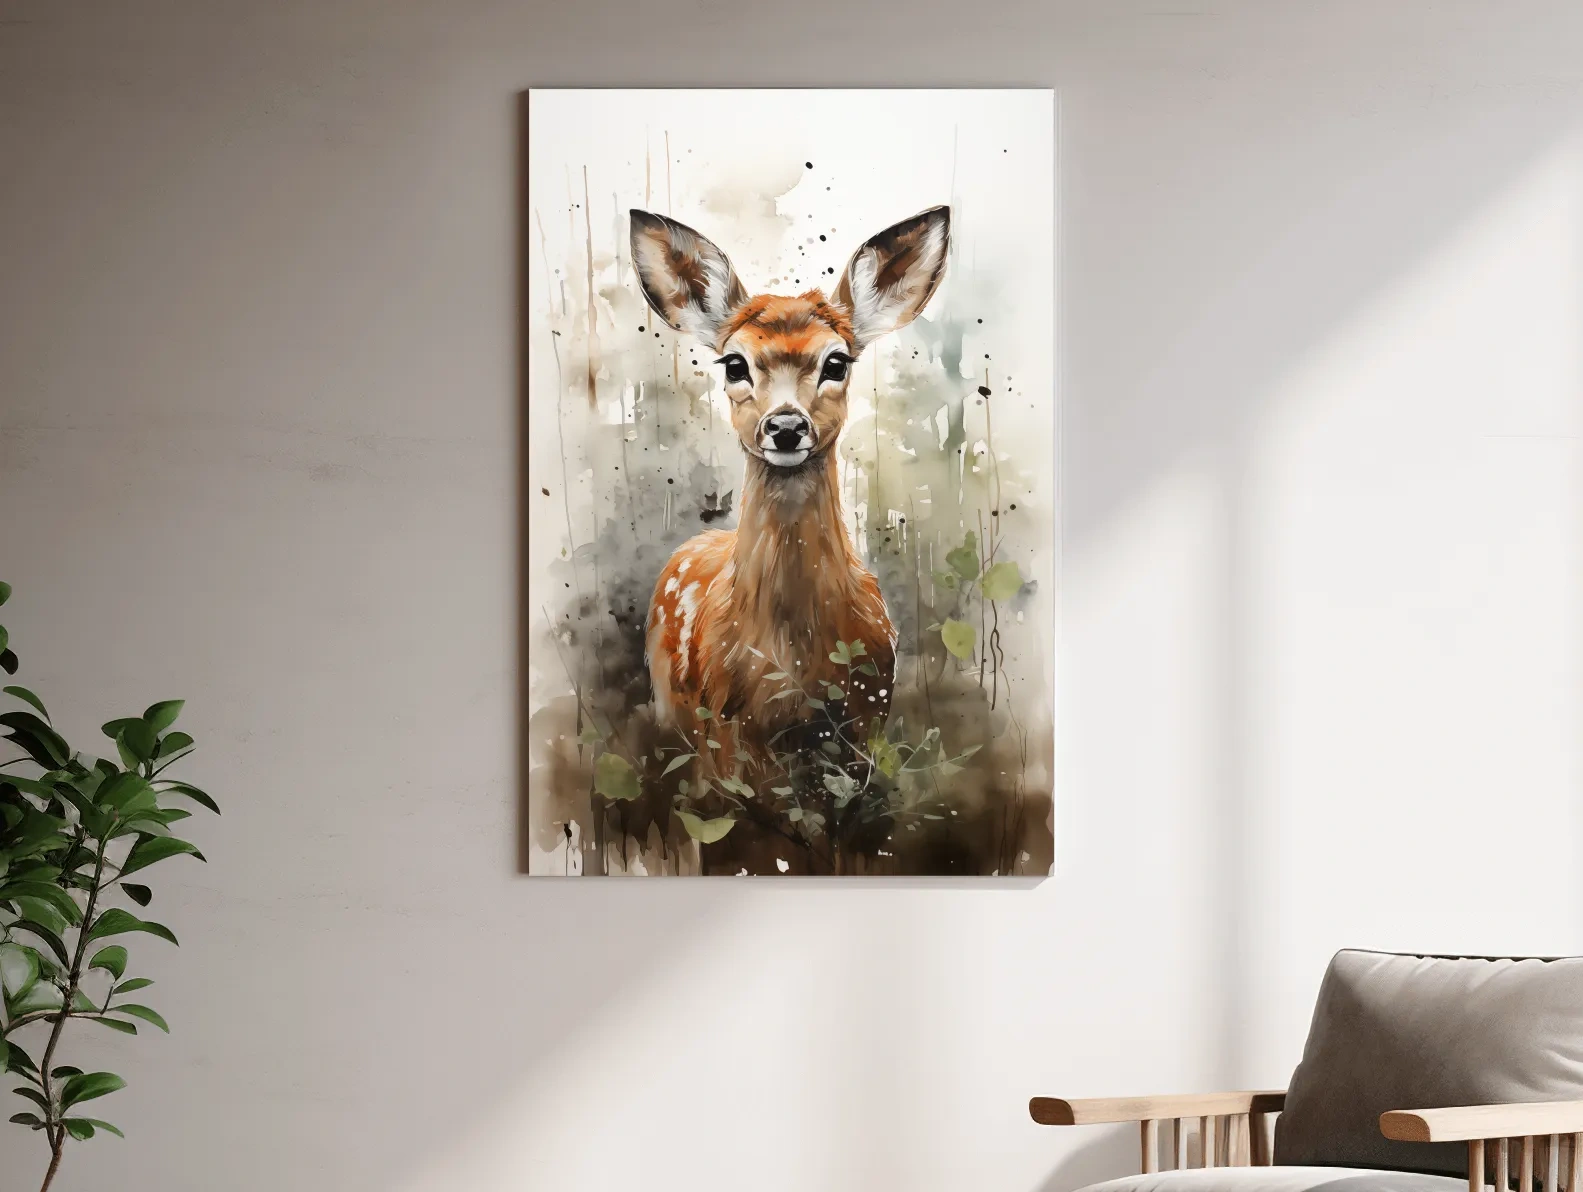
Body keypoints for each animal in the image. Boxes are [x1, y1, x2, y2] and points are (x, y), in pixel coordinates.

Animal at [631, 204, 950, 783]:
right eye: (734, 364)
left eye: (837, 362)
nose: (785, 426)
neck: (792, 665)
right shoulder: (726, 735)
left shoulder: (867, 720)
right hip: (672, 706)